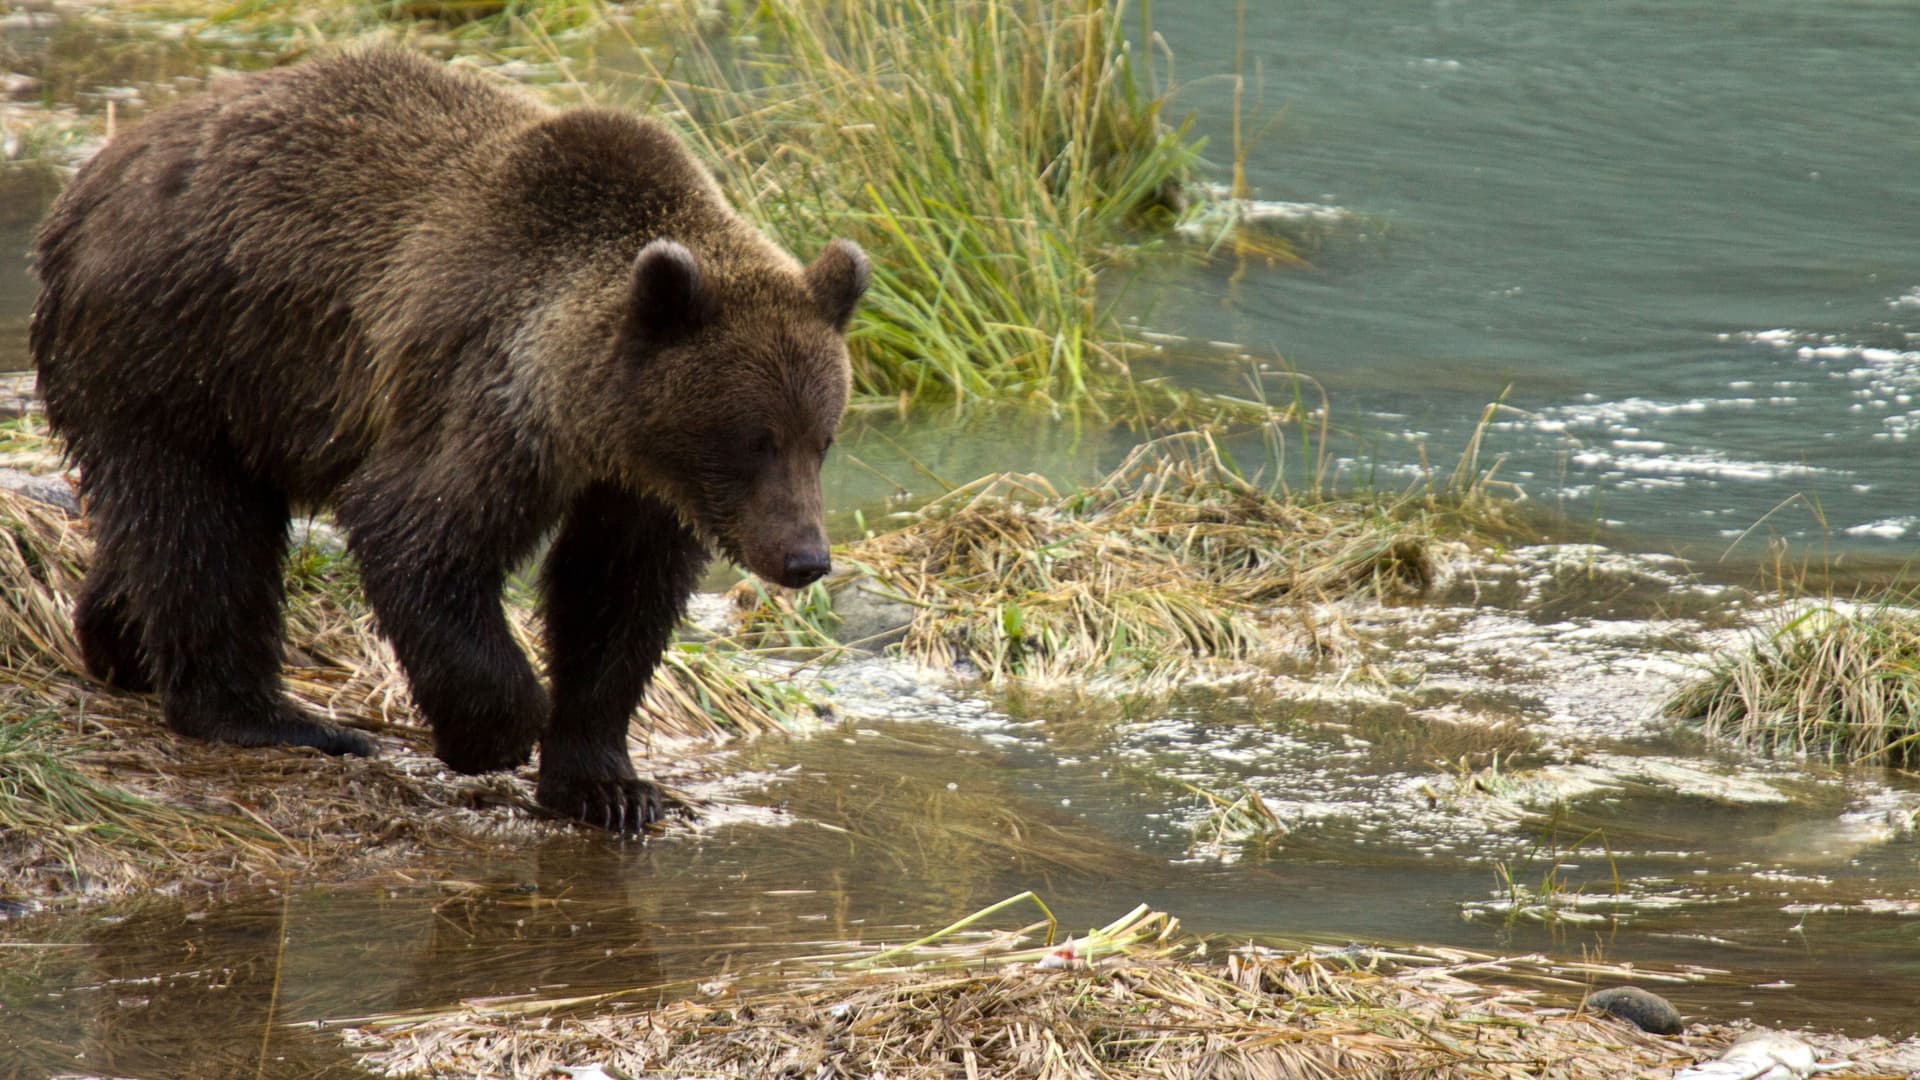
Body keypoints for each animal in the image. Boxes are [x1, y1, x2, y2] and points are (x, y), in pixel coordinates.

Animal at [29, 48, 868, 833]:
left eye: (822, 438)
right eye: (753, 440)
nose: (804, 557)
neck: (592, 419)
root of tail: (85, 187)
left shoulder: (636, 486)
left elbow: (614, 598)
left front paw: (609, 786)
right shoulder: (487, 396)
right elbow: (418, 531)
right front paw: (494, 733)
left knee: (164, 525)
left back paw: (117, 639)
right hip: (181, 345)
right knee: (202, 527)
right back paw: (272, 718)